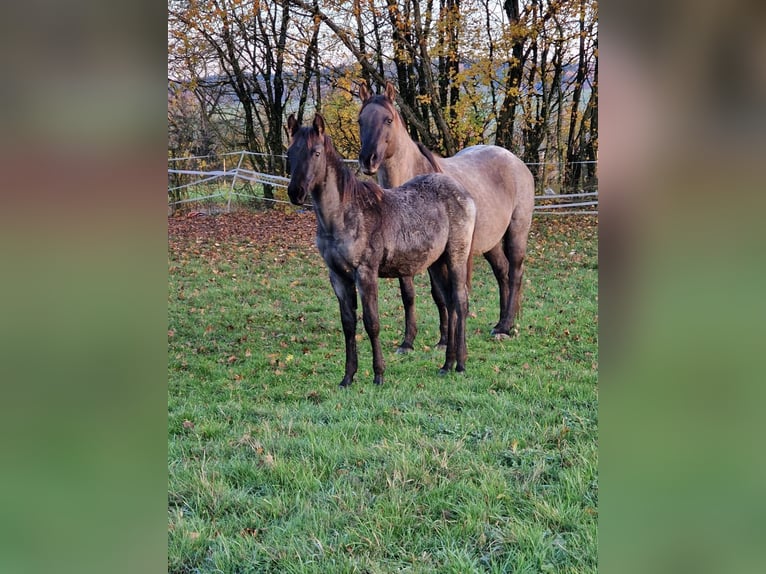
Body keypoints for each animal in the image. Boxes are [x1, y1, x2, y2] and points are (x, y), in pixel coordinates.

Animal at [286, 113, 476, 387]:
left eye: (316, 152)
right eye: (290, 152)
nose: (296, 192)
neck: (344, 215)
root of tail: (464, 193)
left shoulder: (366, 273)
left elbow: (371, 323)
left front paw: (378, 374)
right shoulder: (338, 277)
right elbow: (348, 325)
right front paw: (348, 377)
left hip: (455, 256)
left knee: (460, 302)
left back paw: (460, 365)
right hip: (438, 263)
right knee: (451, 303)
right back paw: (447, 364)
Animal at [357, 81, 535, 351]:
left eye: (388, 120)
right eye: (360, 120)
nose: (368, 159)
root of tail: (516, 161)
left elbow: (442, 293)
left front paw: (444, 340)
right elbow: (411, 294)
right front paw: (409, 342)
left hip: (517, 231)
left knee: (515, 272)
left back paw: (506, 328)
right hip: (489, 241)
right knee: (503, 273)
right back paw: (500, 323)